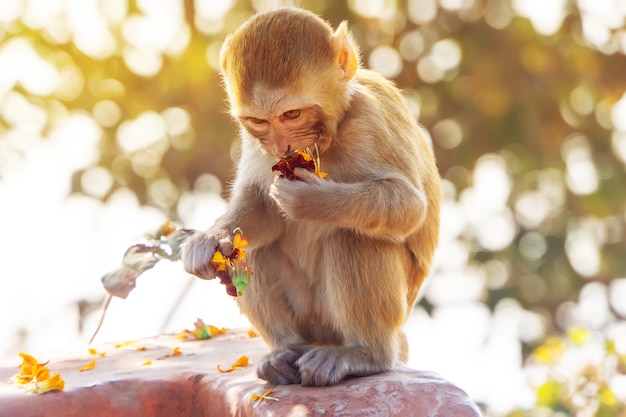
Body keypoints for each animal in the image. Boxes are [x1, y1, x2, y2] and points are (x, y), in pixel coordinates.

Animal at [183, 8, 442, 386]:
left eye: (292, 114)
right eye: (258, 121)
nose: (281, 147)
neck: (332, 134)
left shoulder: (372, 117)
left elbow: (409, 206)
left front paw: (312, 201)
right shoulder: (255, 142)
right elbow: (260, 208)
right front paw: (209, 239)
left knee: (353, 236)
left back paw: (364, 354)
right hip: (309, 320)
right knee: (249, 247)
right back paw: (284, 350)